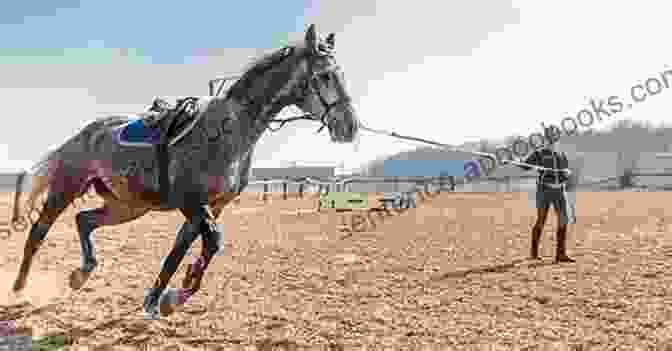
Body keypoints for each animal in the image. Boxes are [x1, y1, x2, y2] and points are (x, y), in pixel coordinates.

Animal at [7, 23, 360, 318]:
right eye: (326, 76)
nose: (349, 127)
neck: (231, 130)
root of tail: (83, 134)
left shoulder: (209, 207)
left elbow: (181, 250)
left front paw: (160, 298)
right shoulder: (191, 202)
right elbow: (212, 241)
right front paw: (177, 293)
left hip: (127, 206)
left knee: (84, 220)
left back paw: (82, 273)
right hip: (66, 189)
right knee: (38, 232)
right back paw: (19, 287)